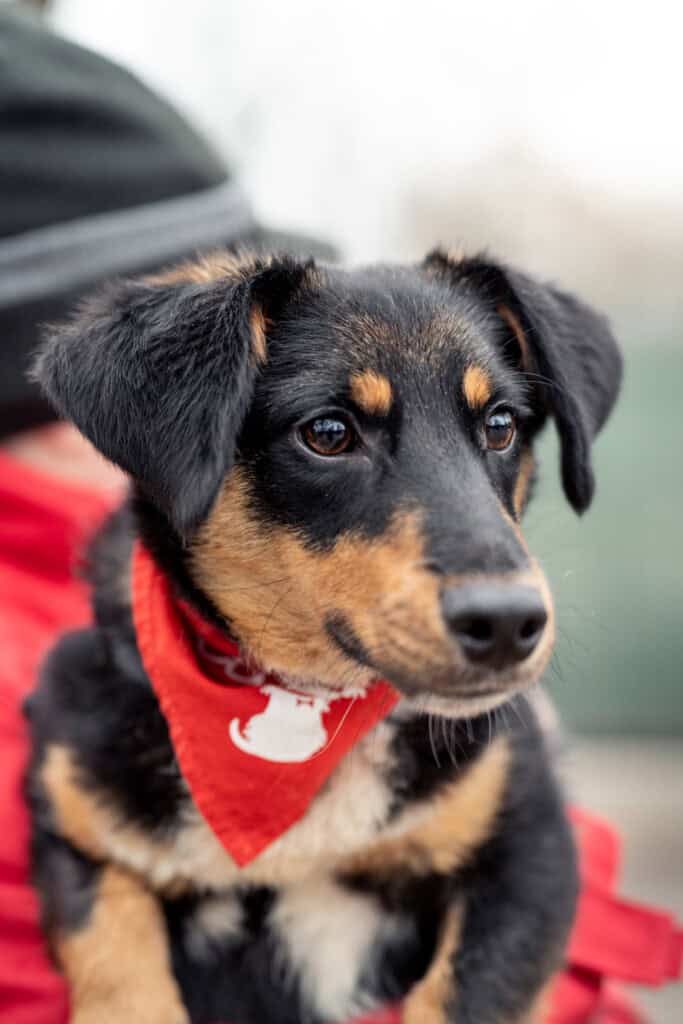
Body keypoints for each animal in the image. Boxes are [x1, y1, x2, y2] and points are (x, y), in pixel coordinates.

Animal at [25, 248, 621, 1024]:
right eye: (329, 433)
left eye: (500, 424)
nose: (506, 623)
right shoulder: (82, 834)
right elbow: (120, 968)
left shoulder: (528, 849)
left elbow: (461, 995)